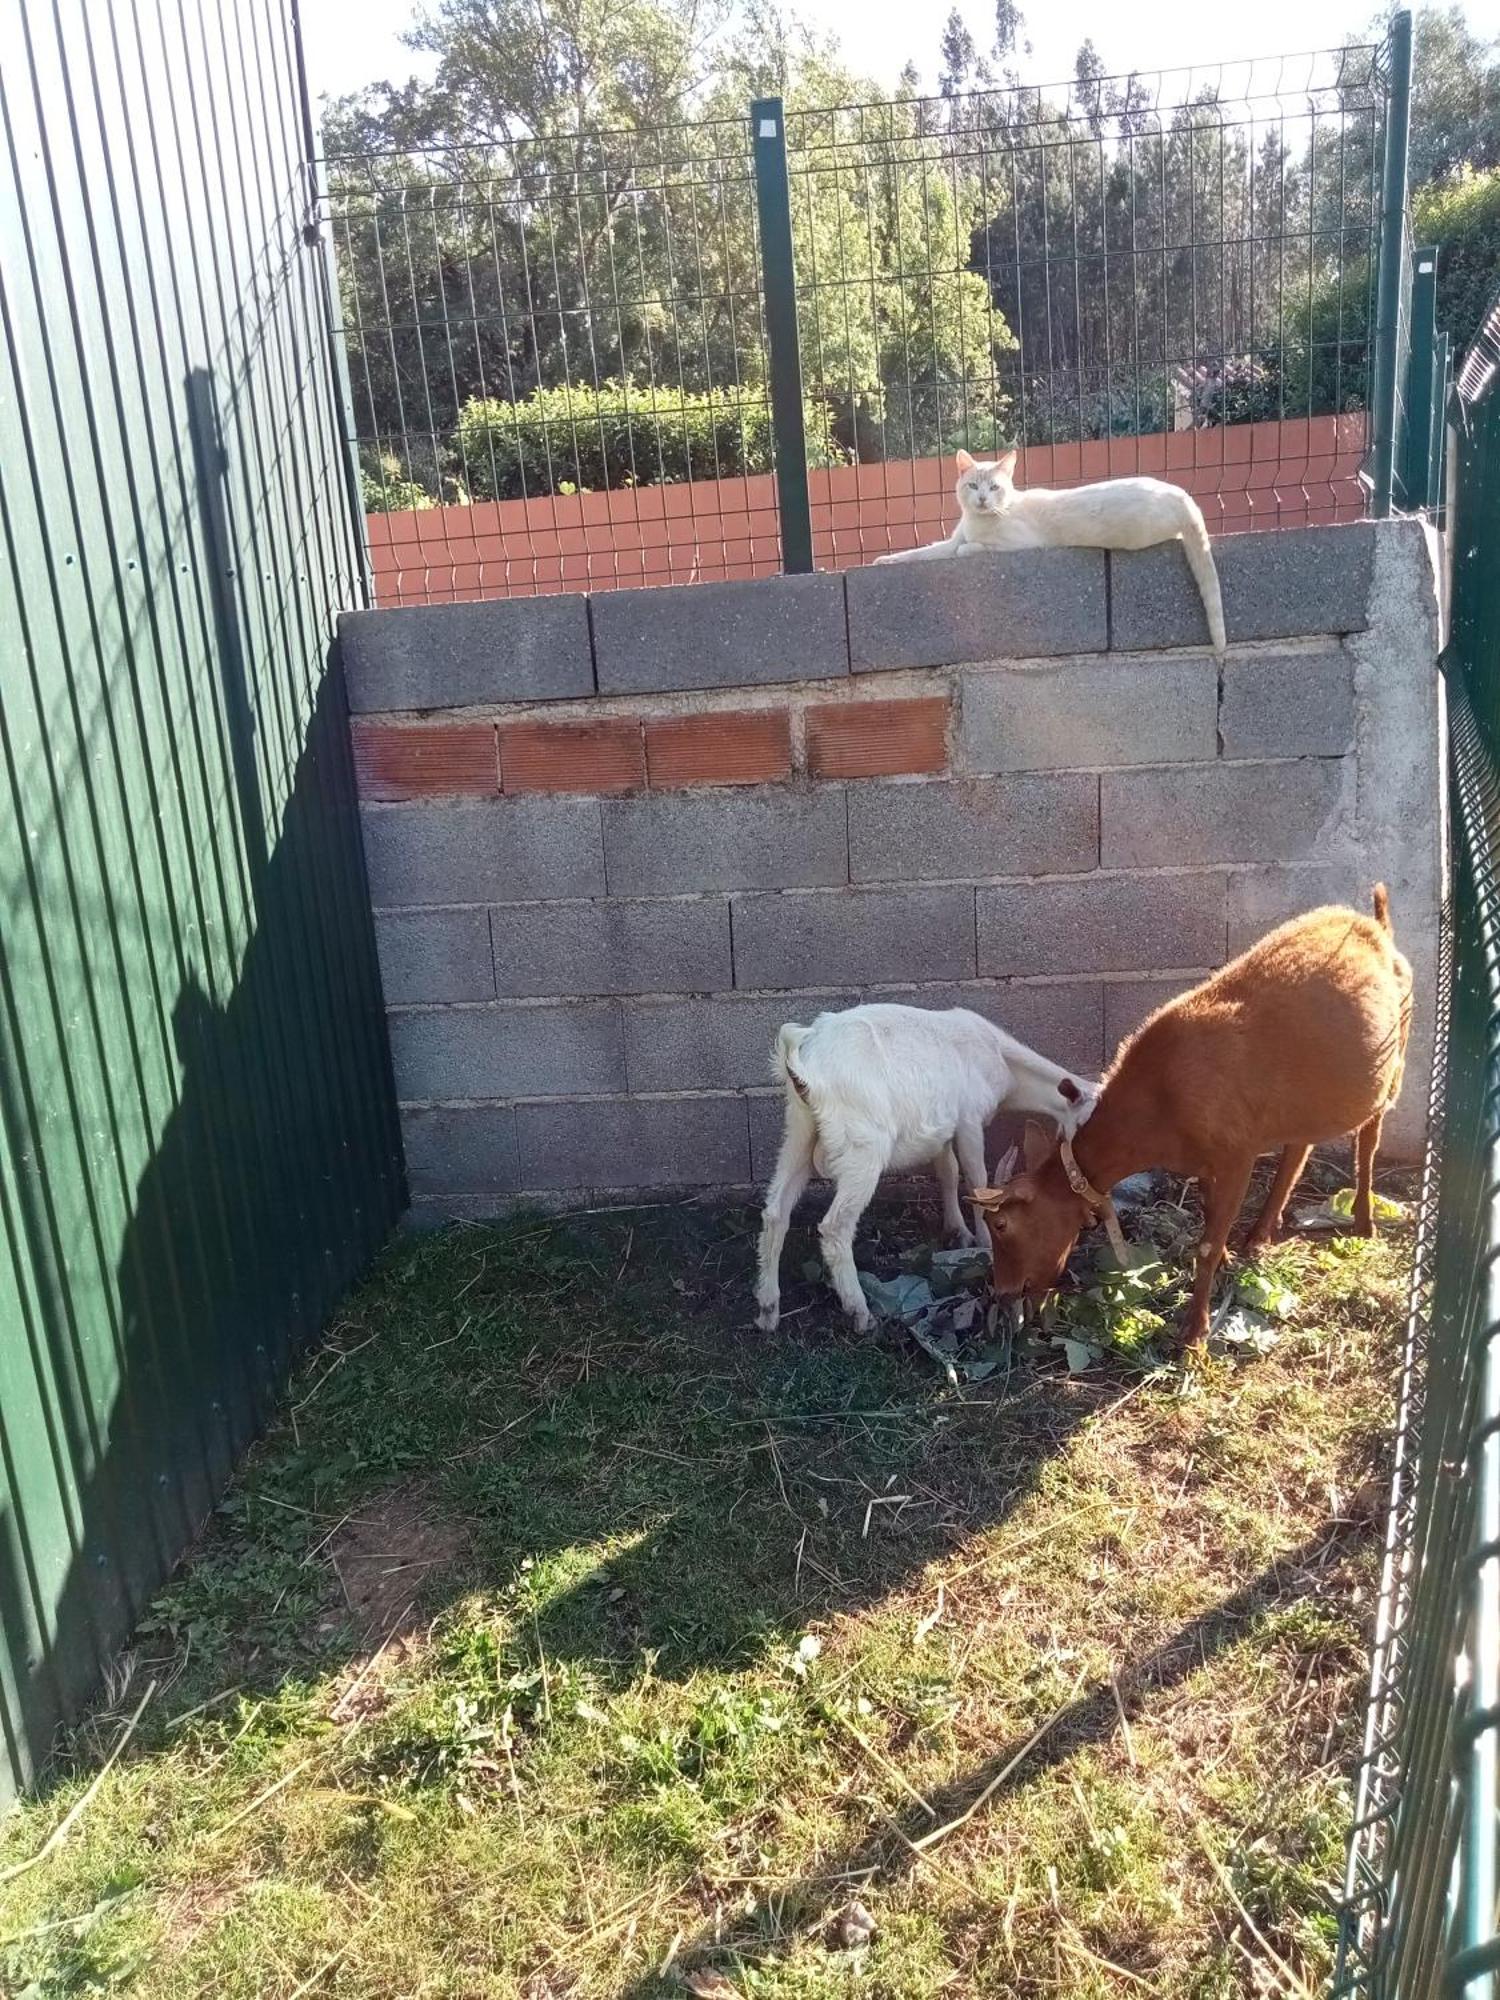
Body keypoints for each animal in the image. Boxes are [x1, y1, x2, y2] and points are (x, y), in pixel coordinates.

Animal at [756, 1008, 1096, 1336]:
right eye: (1086, 1123)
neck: (1002, 1059)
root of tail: (803, 1059)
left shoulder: (943, 1128)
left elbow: (948, 1171)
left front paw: (957, 1230)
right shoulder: (969, 1120)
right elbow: (976, 1179)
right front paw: (984, 1241)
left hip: (799, 1131)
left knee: (776, 1212)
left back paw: (768, 1309)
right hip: (863, 1147)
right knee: (834, 1227)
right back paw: (860, 1313)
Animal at [876, 450, 1224, 652]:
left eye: (995, 487)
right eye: (973, 486)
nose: (983, 500)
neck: (978, 521)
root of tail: (1183, 495)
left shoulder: (1014, 544)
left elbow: (967, 549)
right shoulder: (948, 543)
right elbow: (919, 553)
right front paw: (883, 559)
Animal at [980, 888, 1416, 1344]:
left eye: (1002, 1225)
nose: (1004, 1292)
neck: (1159, 1100)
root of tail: (1375, 927)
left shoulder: (1237, 1153)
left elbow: (1204, 1245)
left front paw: (1195, 1333)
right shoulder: (1205, 1162)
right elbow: (1210, 1218)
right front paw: (1226, 1258)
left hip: (1397, 1054)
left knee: (1368, 1138)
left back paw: (1364, 1221)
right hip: (1308, 1098)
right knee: (1299, 1146)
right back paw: (1260, 1235)